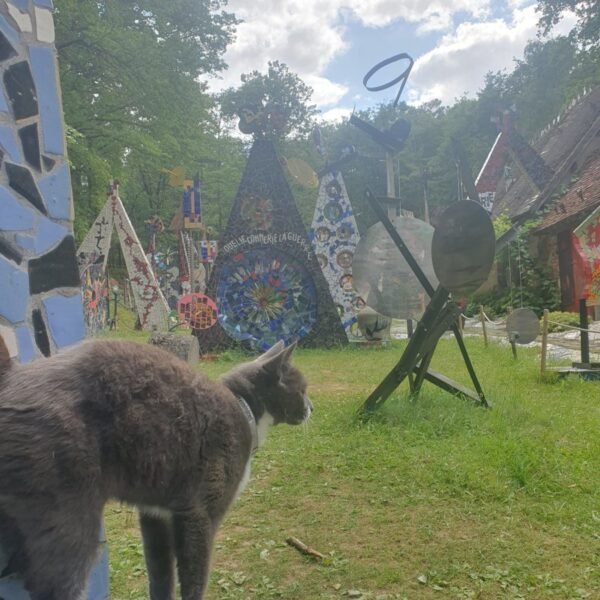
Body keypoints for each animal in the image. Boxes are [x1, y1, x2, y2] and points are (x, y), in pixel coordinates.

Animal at [0, 338, 310, 600]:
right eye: (303, 388)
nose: (312, 407)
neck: (245, 410)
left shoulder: (154, 516)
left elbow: (160, 576)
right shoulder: (200, 514)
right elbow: (194, 580)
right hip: (70, 520)